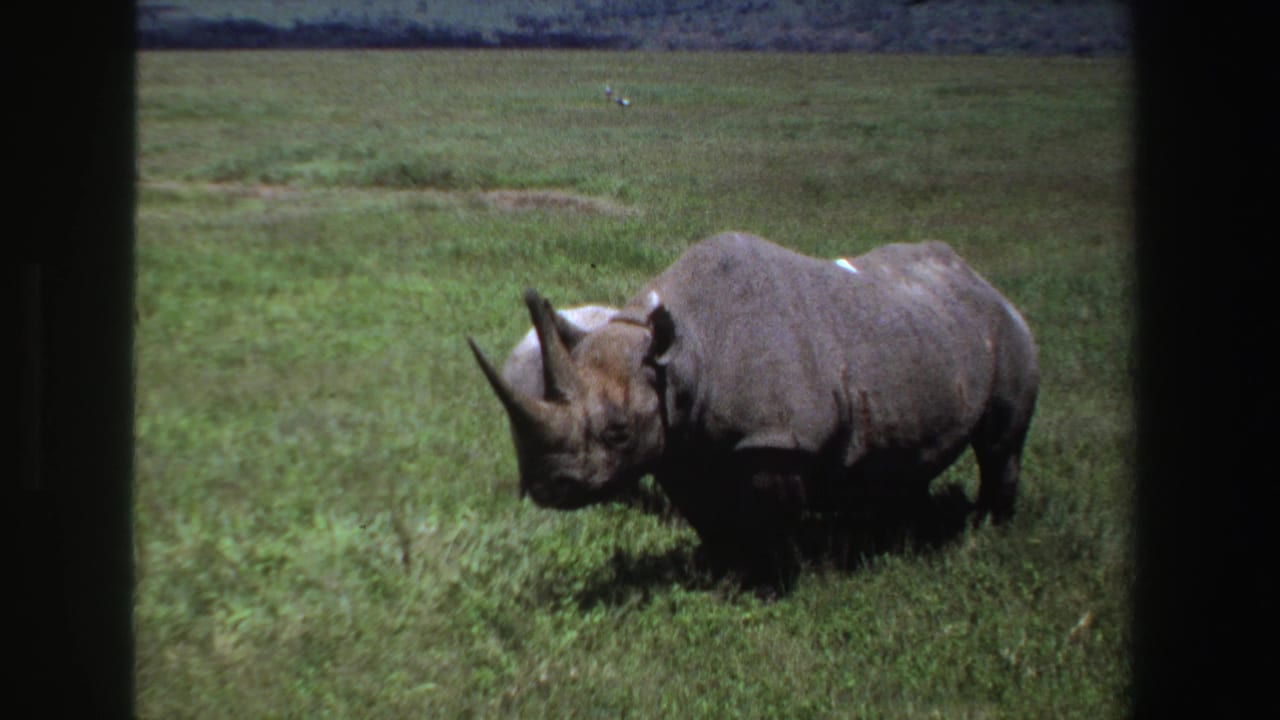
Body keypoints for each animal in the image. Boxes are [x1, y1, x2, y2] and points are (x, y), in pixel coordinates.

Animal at [467, 232, 1038, 586]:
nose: (547, 488)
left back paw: (987, 532)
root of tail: (982, 280)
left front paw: (771, 584)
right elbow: (707, 515)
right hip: (925, 332)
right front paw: (721, 572)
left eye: (617, 433)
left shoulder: (775, 439)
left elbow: (771, 518)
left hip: (1007, 331)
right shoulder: (680, 441)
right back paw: (903, 531)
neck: (679, 357)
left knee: (999, 444)